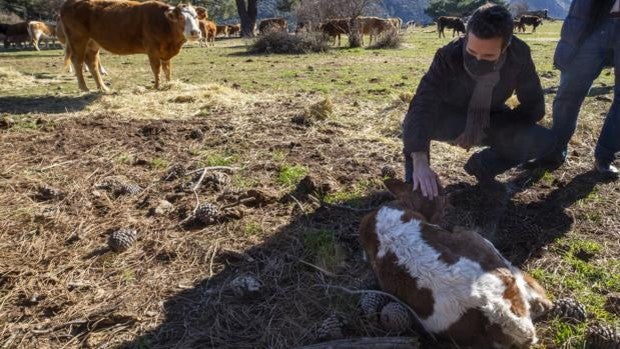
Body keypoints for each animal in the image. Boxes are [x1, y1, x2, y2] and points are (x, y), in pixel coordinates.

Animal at [59, 0, 197, 91]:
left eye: (196, 16)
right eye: (180, 17)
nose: (195, 32)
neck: (163, 22)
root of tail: (68, 3)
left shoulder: (165, 53)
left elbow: (167, 69)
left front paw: (169, 84)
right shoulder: (152, 50)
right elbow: (156, 69)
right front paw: (157, 86)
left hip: (92, 43)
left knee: (92, 63)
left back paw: (103, 88)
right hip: (77, 40)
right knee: (77, 61)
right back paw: (84, 87)